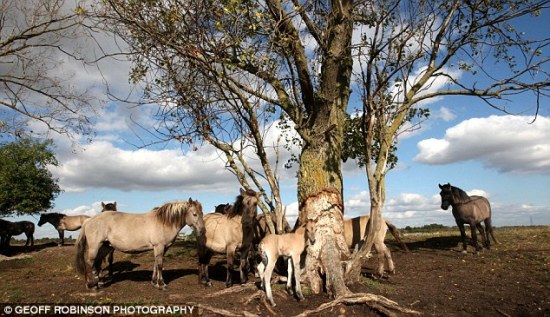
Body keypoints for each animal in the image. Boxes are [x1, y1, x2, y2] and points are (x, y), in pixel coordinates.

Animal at [76, 199, 206, 290]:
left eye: (202, 213)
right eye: (194, 214)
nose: (202, 231)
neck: (164, 222)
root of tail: (89, 220)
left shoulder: (161, 248)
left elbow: (156, 264)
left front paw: (154, 282)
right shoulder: (159, 246)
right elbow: (160, 265)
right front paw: (161, 284)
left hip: (105, 247)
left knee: (97, 263)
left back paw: (99, 283)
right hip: (95, 246)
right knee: (90, 262)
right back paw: (92, 285)